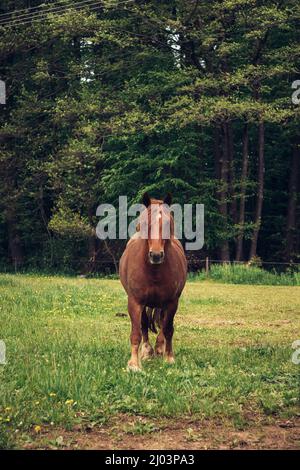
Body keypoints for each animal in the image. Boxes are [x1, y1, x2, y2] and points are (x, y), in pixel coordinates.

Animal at [119, 193, 185, 372]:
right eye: (145, 223)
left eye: (168, 223)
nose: (156, 255)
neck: (154, 272)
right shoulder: (135, 302)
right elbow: (137, 331)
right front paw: (134, 364)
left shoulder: (172, 302)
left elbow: (168, 328)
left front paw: (169, 357)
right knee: (144, 324)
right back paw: (147, 351)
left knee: (162, 323)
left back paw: (160, 348)